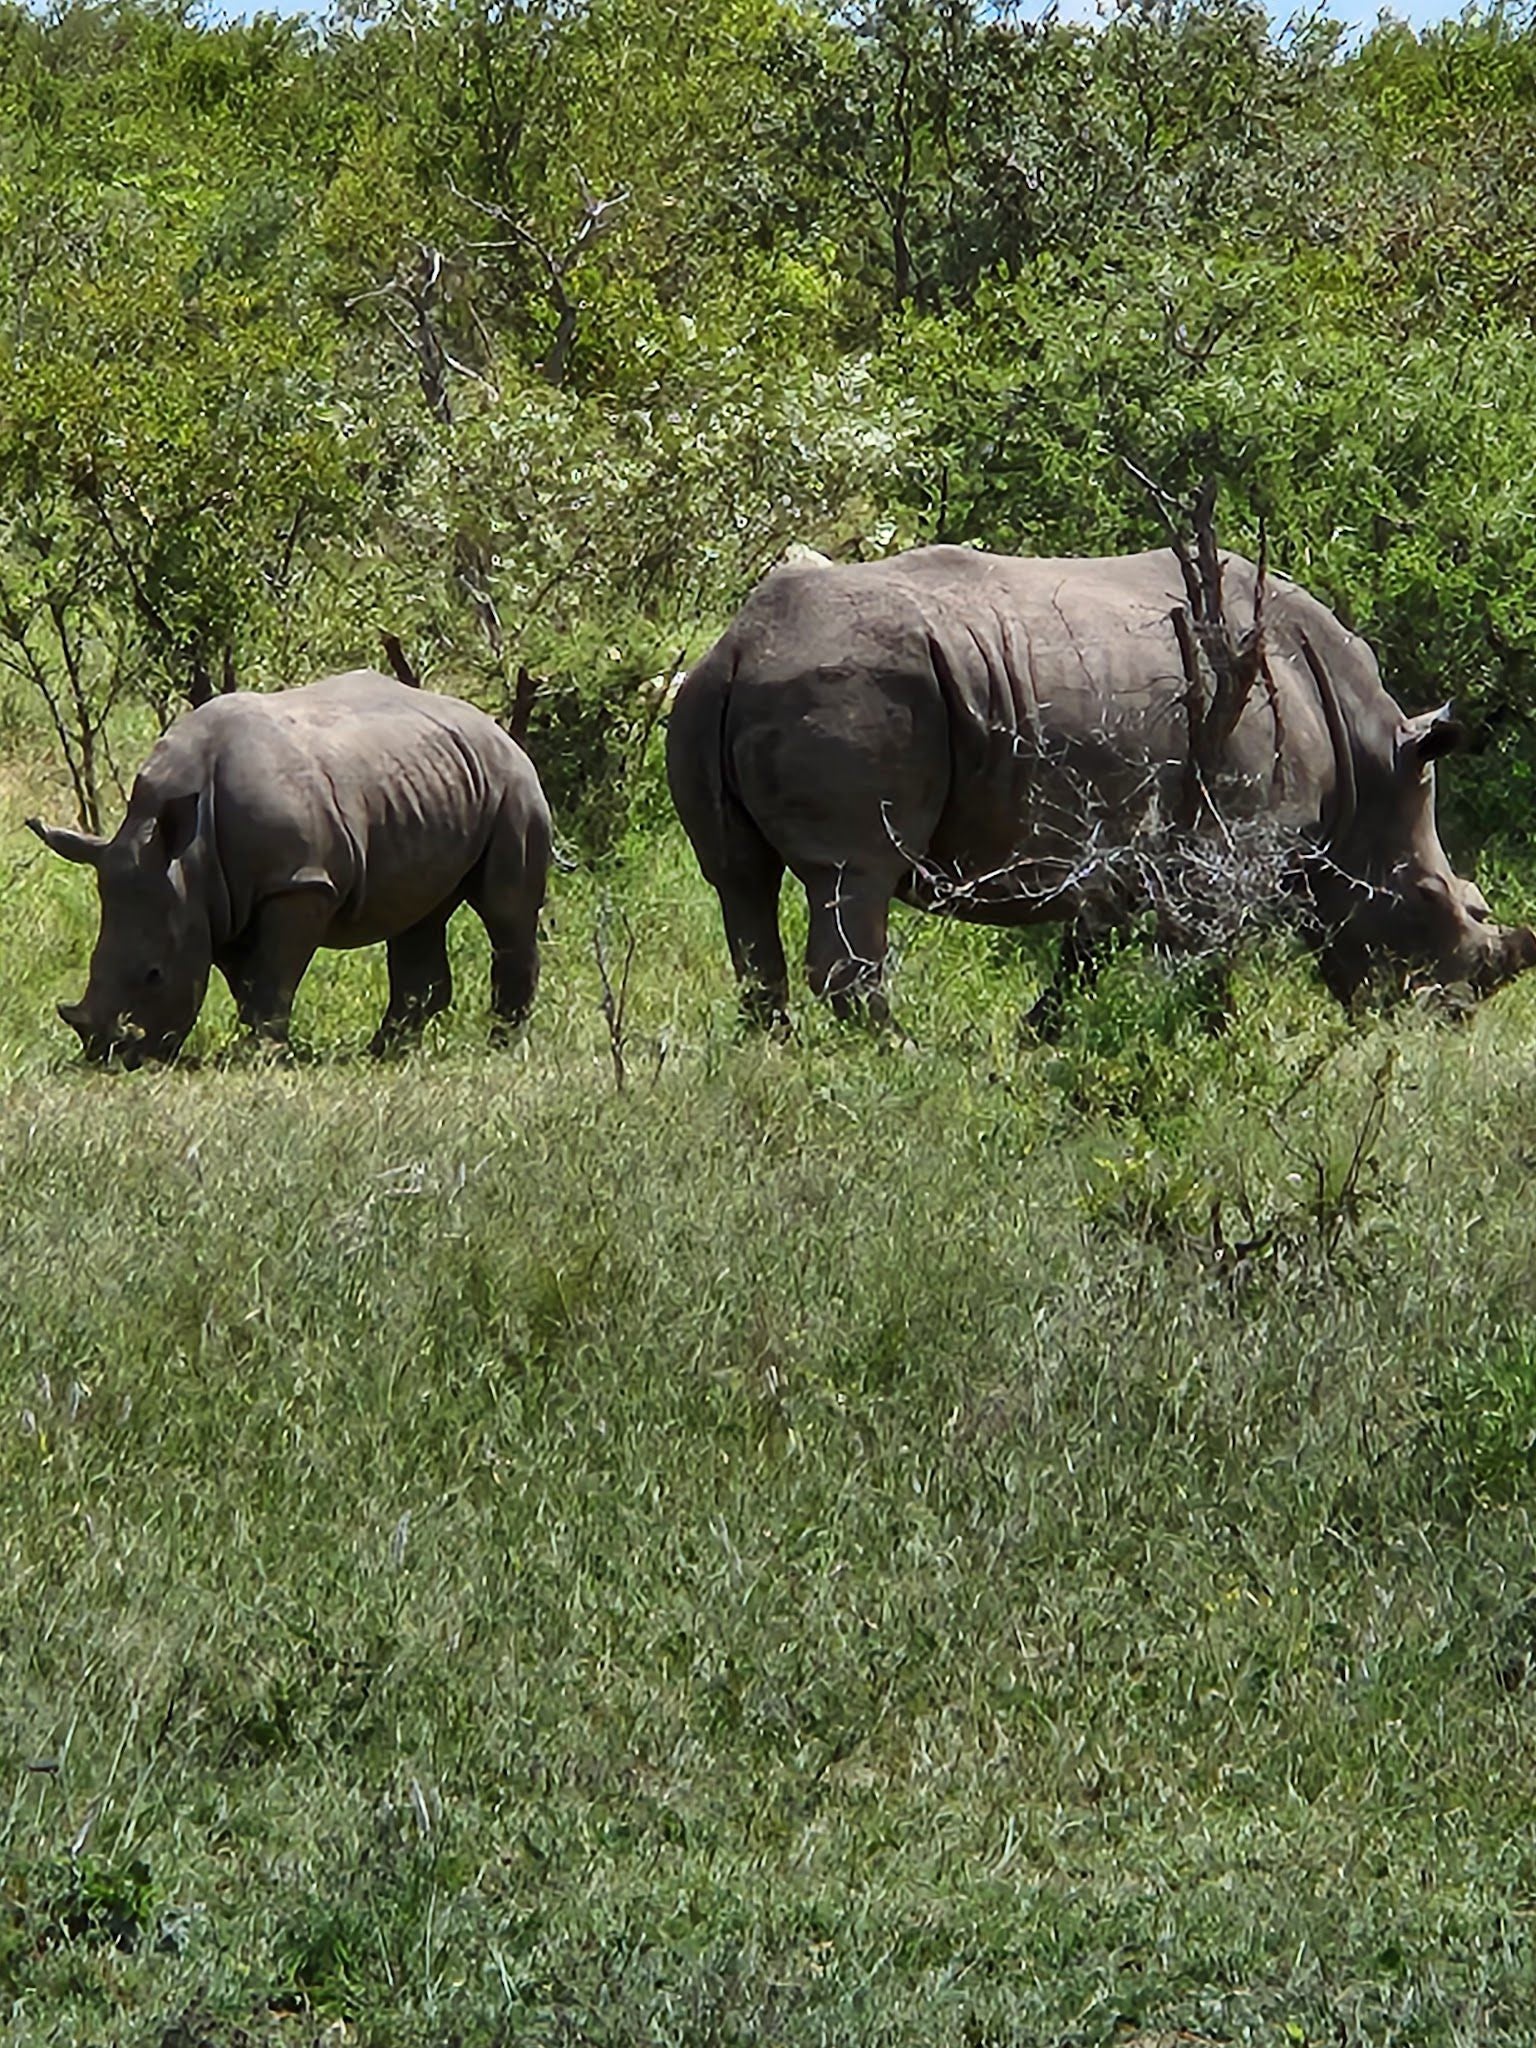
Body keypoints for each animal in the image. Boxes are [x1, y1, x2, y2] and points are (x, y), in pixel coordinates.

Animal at [28, 671, 552, 1064]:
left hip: (513, 784)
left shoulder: (298, 883)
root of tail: (495, 727)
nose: (109, 1055)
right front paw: (258, 1046)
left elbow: (275, 971)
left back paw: (501, 1046)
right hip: (434, 786)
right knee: (418, 913)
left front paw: (260, 1056)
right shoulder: (219, 900)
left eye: (154, 975)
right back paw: (384, 1053)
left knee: (506, 909)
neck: (182, 855)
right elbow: (246, 978)